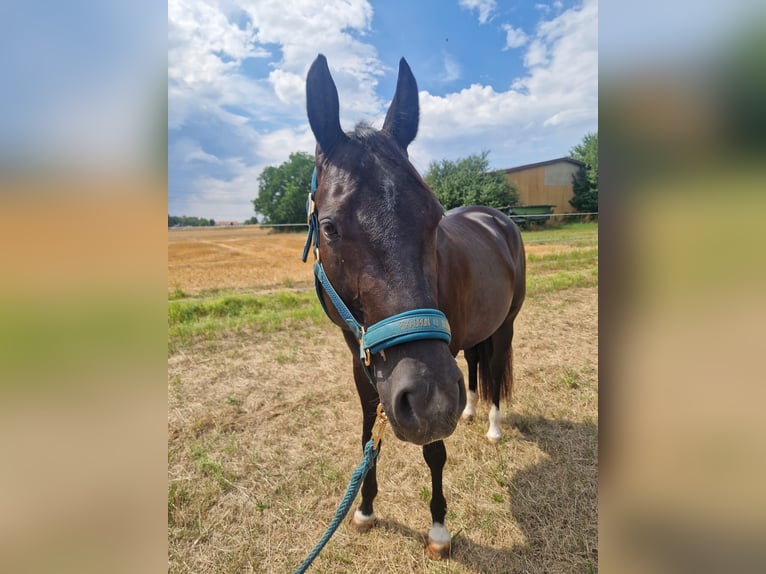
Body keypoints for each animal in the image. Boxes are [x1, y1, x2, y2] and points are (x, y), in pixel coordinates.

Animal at [304, 54, 526, 559]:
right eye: (330, 227)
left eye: (434, 215)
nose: (431, 399)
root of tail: (497, 218)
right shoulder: (363, 365)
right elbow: (368, 436)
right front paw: (364, 510)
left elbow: (434, 451)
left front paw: (439, 529)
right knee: (474, 364)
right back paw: (468, 412)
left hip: (504, 325)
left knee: (494, 368)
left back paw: (491, 426)